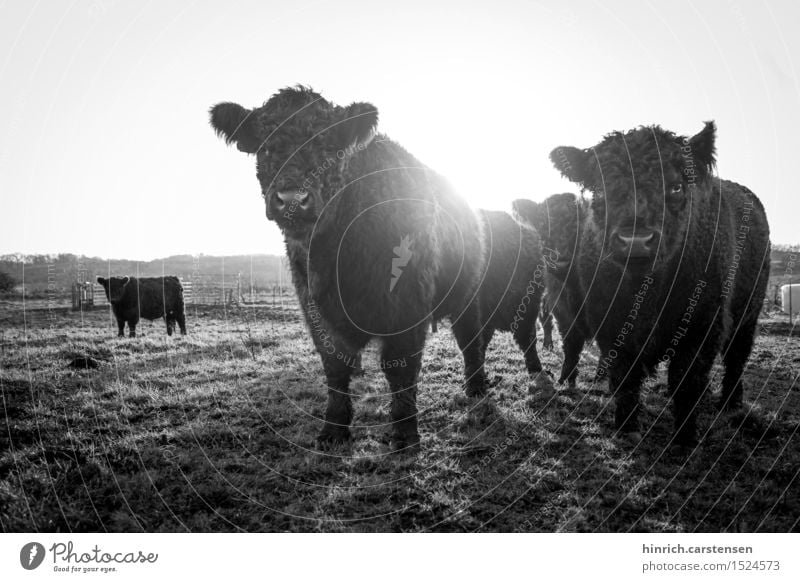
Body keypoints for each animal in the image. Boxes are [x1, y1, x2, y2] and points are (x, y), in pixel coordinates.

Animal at [208, 85, 488, 452]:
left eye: (329, 146)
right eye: (266, 145)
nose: (292, 199)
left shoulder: (408, 303)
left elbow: (401, 367)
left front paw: (405, 433)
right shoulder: (314, 305)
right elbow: (335, 365)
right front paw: (333, 429)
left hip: (468, 294)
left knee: (471, 340)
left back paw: (477, 388)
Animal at [512, 194, 592, 390]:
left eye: (577, 224)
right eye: (542, 223)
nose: (560, 259)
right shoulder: (562, 309)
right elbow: (571, 342)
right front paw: (567, 377)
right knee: (545, 320)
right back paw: (547, 344)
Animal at [552, 121, 768, 444]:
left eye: (676, 186)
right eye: (601, 190)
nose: (635, 241)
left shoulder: (702, 325)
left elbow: (686, 380)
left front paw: (685, 438)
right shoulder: (609, 322)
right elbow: (624, 377)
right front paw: (626, 426)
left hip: (747, 316)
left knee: (736, 359)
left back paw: (731, 404)